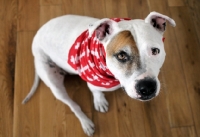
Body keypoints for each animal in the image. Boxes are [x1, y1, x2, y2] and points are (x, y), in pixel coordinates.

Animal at [21, 11, 175, 136]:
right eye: (121, 55)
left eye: (155, 51)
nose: (147, 87)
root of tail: (36, 37)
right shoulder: (92, 81)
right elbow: (96, 91)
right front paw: (99, 101)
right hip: (53, 82)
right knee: (73, 105)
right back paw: (86, 123)